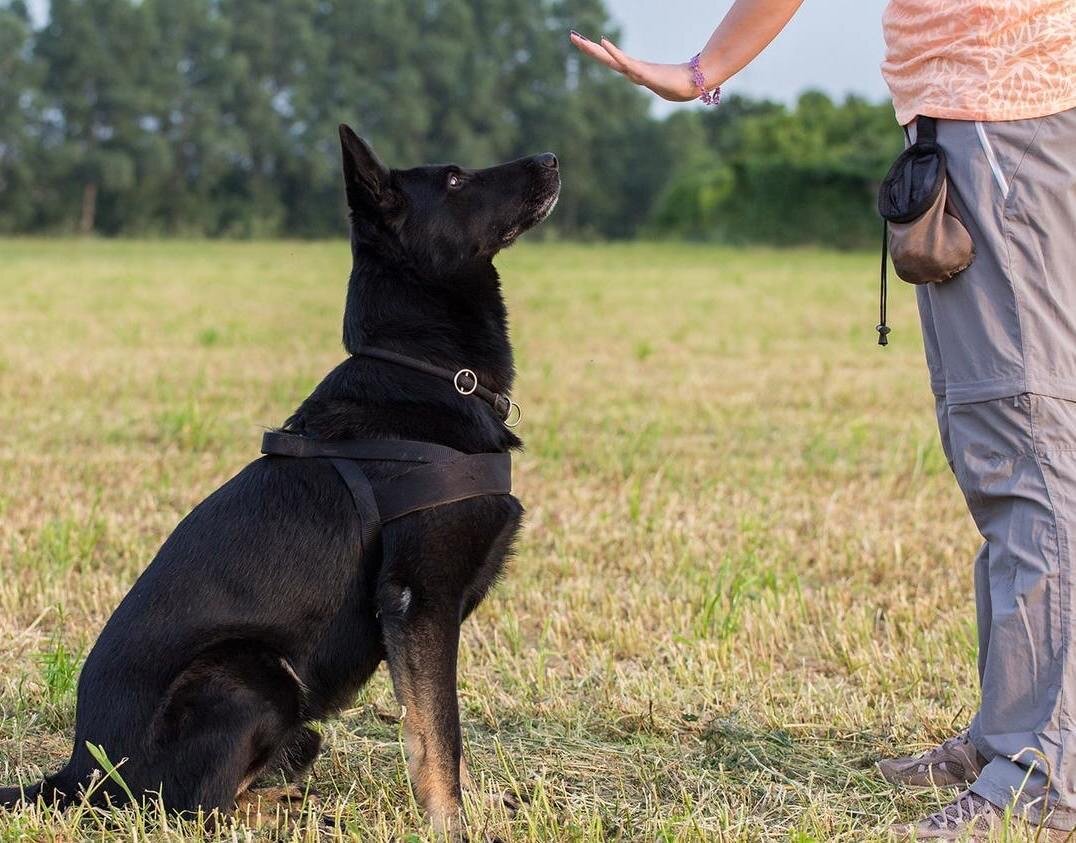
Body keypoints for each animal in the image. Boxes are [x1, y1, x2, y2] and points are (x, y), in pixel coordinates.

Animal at [4, 125, 563, 835]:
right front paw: (451, 826)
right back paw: (282, 812)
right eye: (456, 180)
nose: (551, 159)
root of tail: (78, 771)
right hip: (253, 673)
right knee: (193, 809)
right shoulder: (421, 602)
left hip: (295, 717)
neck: (426, 368)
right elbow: (440, 731)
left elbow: (434, 729)